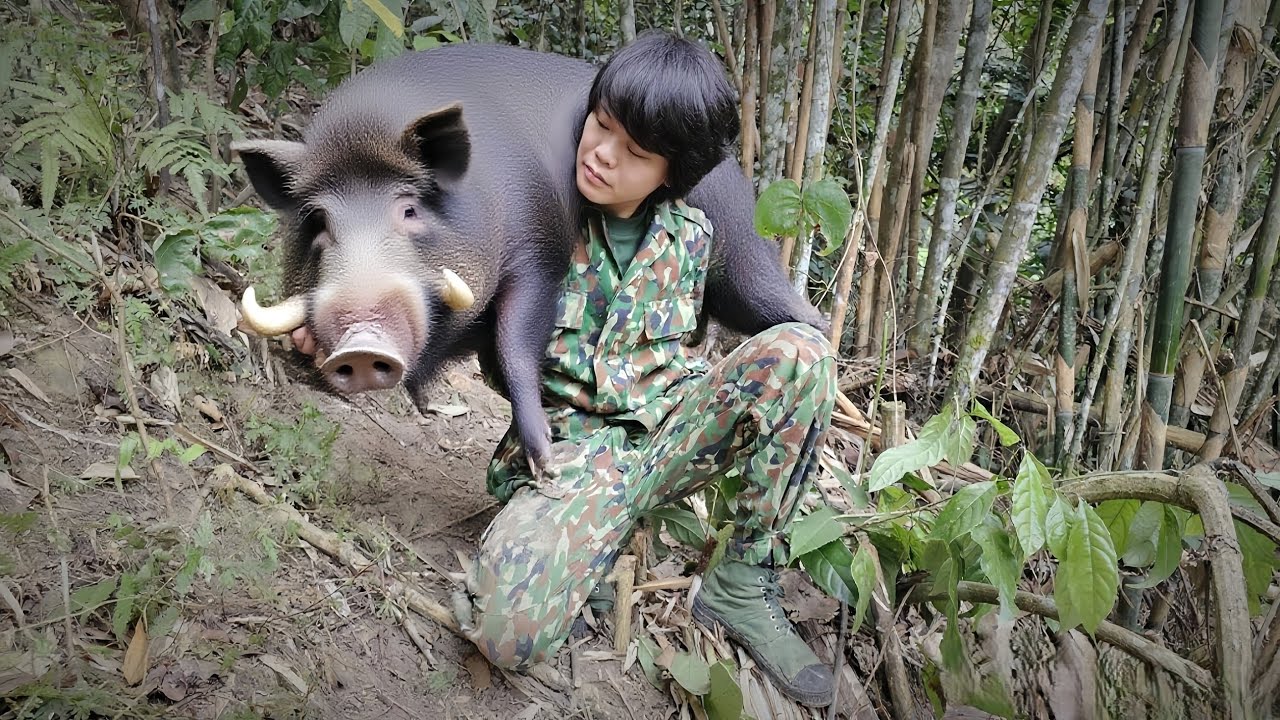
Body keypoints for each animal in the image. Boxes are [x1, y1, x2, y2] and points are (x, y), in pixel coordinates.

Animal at [233, 42, 823, 478]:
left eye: (408, 208)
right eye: (318, 223)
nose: (358, 344)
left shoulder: (540, 249)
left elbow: (518, 343)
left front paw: (545, 462)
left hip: (742, 253)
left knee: (791, 314)